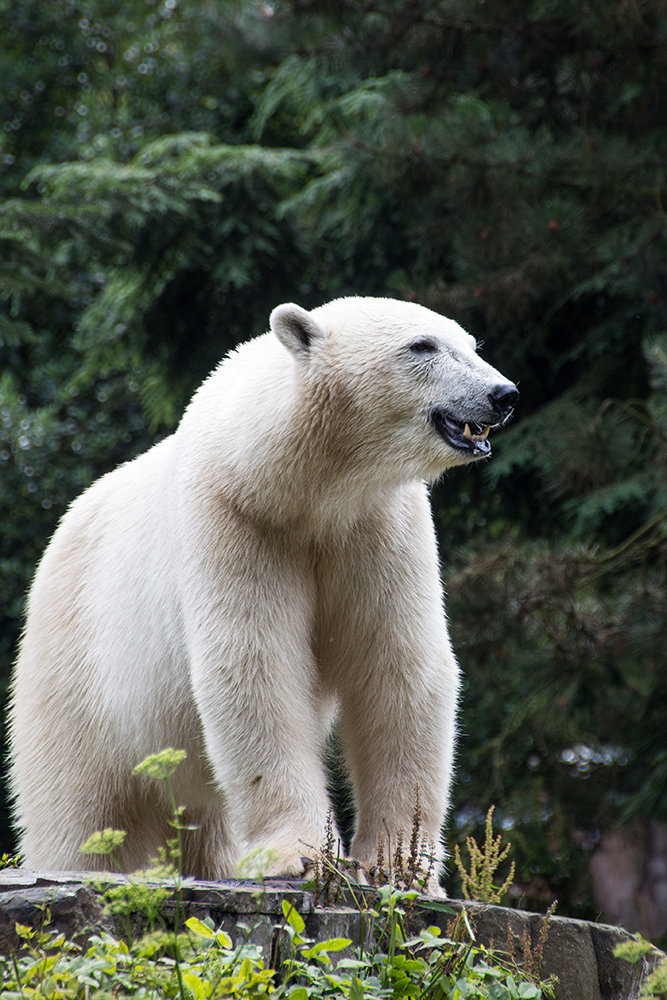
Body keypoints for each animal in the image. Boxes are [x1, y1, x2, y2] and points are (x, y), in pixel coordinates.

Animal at [9, 294, 516, 884]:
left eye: (471, 344)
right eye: (422, 346)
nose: (503, 394)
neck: (298, 486)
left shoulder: (379, 525)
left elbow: (395, 665)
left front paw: (397, 864)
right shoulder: (236, 518)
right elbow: (255, 665)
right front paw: (302, 854)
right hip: (77, 669)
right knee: (80, 810)